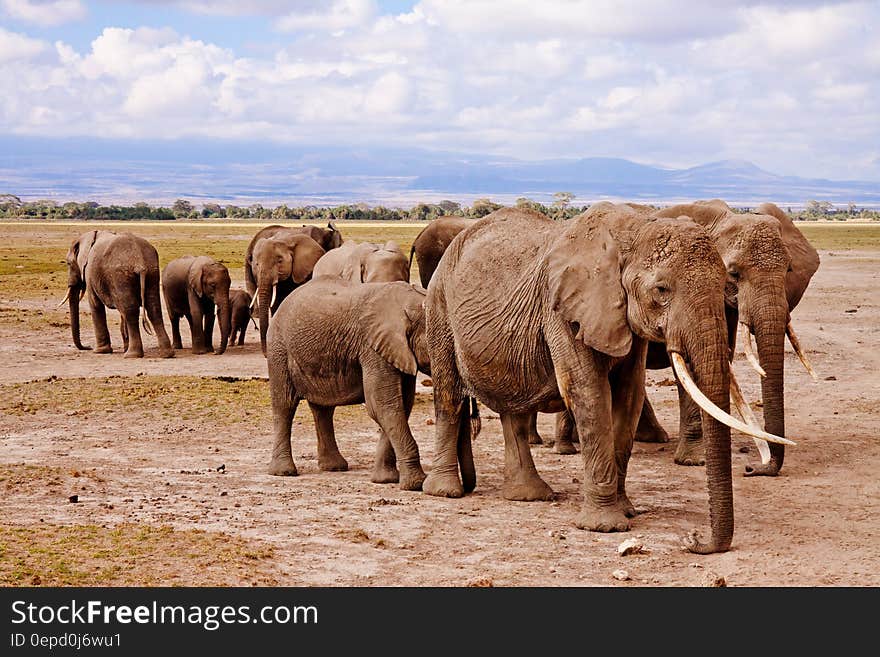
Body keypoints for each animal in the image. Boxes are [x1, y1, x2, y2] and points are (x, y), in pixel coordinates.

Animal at [268, 274, 434, 490]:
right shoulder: (373, 348)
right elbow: (382, 405)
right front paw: (416, 484)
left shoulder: (397, 351)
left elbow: (400, 405)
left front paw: (384, 480)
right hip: (278, 347)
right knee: (284, 404)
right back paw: (284, 472)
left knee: (323, 409)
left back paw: (334, 467)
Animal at [422, 205, 792, 552]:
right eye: (661, 289)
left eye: (725, 282)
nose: (694, 539)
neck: (633, 231)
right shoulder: (563, 311)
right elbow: (590, 394)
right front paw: (605, 526)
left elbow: (629, 396)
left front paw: (626, 510)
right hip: (439, 308)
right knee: (449, 395)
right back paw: (445, 491)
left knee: (513, 409)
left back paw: (527, 495)